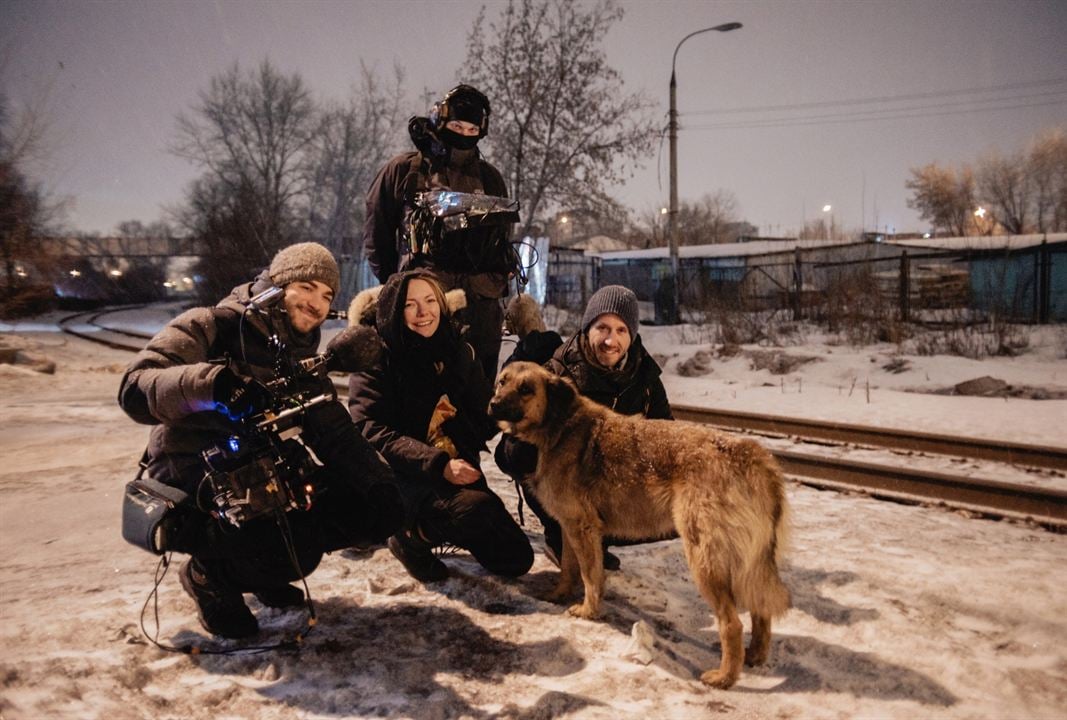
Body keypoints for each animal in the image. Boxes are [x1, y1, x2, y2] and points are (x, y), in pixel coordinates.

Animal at [488, 362, 789, 691]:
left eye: (526, 389)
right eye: (502, 381)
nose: (493, 404)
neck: (560, 425)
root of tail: (756, 458)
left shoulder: (582, 527)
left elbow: (590, 576)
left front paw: (589, 611)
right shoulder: (569, 526)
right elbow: (568, 568)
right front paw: (560, 594)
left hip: (705, 559)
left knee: (732, 623)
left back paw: (724, 676)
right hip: (747, 563)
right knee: (761, 610)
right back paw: (754, 655)